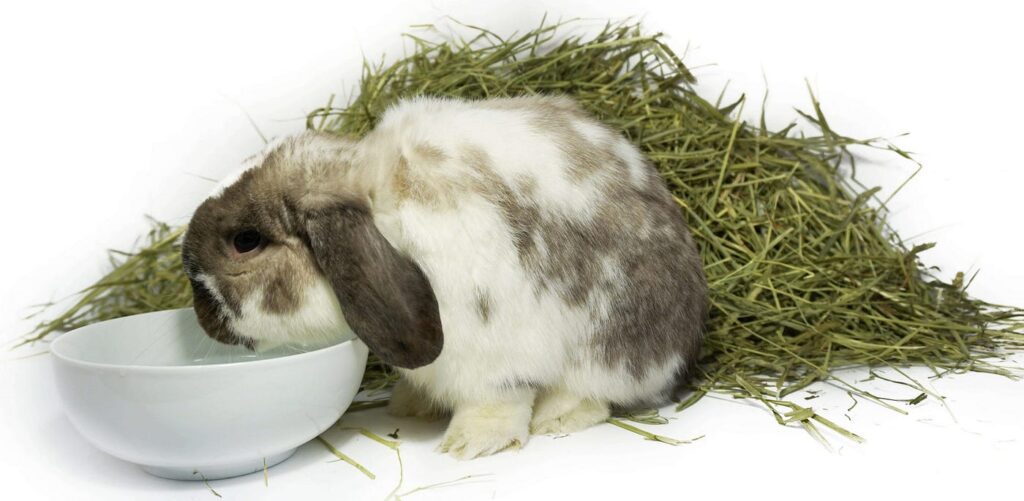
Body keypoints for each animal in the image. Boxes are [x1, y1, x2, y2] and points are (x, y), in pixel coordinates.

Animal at [180, 95, 707, 460]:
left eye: (246, 241)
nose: (200, 312)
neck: (381, 210)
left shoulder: (495, 357)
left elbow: (496, 403)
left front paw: (469, 444)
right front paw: (409, 404)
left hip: (610, 349)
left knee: (598, 393)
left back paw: (557, 416)